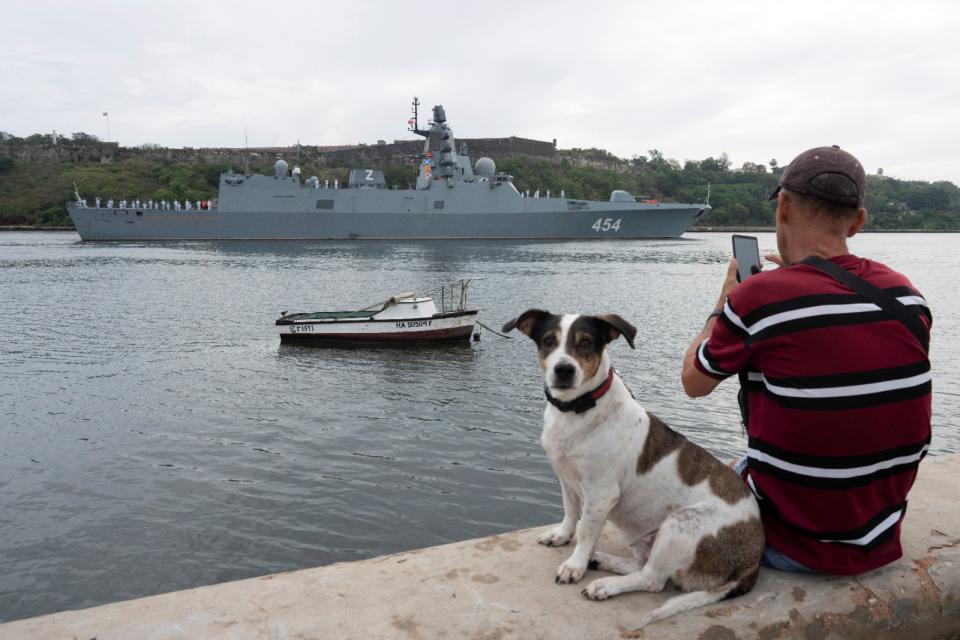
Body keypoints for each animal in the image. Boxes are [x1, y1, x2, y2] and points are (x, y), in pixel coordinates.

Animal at [502, 308, 764, 628]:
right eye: (548, 340)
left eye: (586, 343)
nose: (564, 370)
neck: (578, 412)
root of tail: (751, 563)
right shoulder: (566, 478)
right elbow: (570, 512)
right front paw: (562, 535)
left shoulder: (601, 495)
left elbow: (586, 531)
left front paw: (575, 564)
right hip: (645, 536)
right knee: (641, 565)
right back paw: (602, 561)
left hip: (679, 525)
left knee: (652, 579)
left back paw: (605, 585)